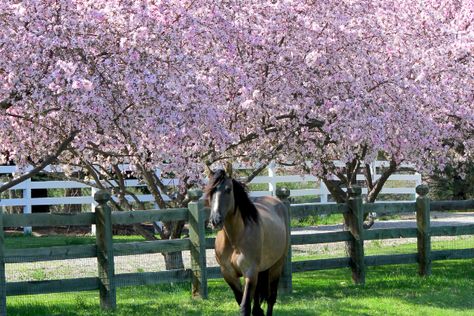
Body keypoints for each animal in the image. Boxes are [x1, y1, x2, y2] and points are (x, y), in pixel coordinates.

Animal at [206, 170, 290, 316]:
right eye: (210, 191)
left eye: (228, 189)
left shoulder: (250, 272)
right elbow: (241, 301)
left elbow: (245, 306)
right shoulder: (228, 274)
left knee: (271, 298)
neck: (235, 240)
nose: (215, 220)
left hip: (276, 266)